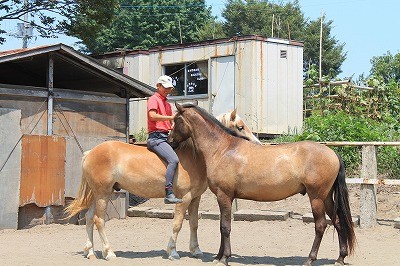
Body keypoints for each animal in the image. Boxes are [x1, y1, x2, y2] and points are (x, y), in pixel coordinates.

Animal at [169, 102, 356, 266]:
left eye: (176, 120)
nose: (170, 141)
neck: (222, 149)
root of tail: (332, 153)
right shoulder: (226, 198)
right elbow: (223, 226)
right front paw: (218, 256)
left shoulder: (224, 195)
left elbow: (225, 227)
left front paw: (224, 258)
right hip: (326, 198)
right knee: (338, 222)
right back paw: (340, 258)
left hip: (316, 197)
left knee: (320, 225)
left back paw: (310, 259)